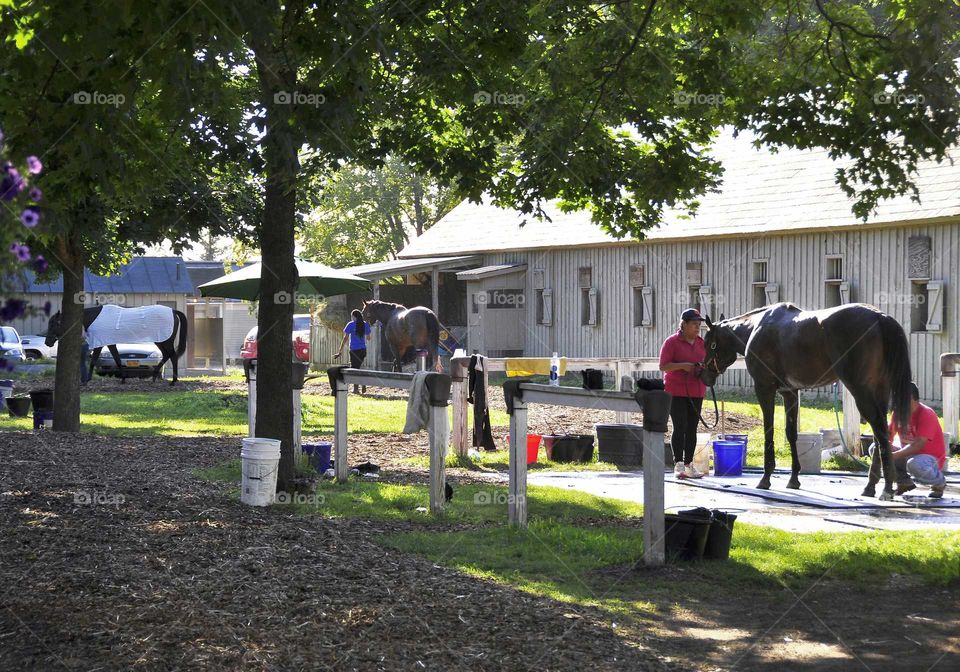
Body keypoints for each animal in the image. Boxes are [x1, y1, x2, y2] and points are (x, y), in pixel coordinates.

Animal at [45, 304, 188, 384]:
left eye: (53, 323)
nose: (47, 342)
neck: (94, 317)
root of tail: (173, 311)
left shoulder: (100, 343)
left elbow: (93, 361)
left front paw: (86, 381)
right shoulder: (110, 343)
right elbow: (117, 359)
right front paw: (123, 379)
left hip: (166, 340)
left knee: (172, 356)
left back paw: (173, 381)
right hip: (161, 341)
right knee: (166, 355)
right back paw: (154, 377)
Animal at [692, 304, 912, 498]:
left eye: (708, 343)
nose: (703, 376)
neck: (756, 328)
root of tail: (880, 317)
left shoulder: (764, 390)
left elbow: (768, 430)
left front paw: (765, 478)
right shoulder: (789, 393)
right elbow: (791, 434)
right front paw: (794, 478)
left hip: (861, 392)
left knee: (880, 431)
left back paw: (886, 488)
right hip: (879, 392)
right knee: (879, 432)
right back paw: (871, 486)